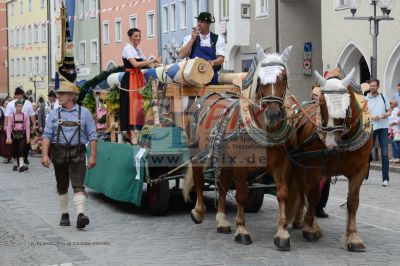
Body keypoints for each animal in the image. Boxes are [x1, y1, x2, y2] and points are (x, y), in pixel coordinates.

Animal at [182, 44, 296, 250]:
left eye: (283, 77)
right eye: (259, 80)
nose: (273, 114)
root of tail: (203, 97)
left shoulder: (282, 164)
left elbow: (282, 194)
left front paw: (282, 233)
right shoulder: (241, 165)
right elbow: (242, 194)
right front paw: (242, 230)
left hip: (223, 159)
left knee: (222, 185)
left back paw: (221, 220)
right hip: (196, 152)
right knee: (199, 179)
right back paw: (199, 211)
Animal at [288, 67, 372, 251]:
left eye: (347, 106)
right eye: (321, 103)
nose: (330, 142)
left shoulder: (360, 169)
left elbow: (353, 201)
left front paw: (353, 237)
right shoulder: (314, 167)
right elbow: (313, 195)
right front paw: (311, 229)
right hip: (299, 166)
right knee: (302, 191)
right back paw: (301, 220)